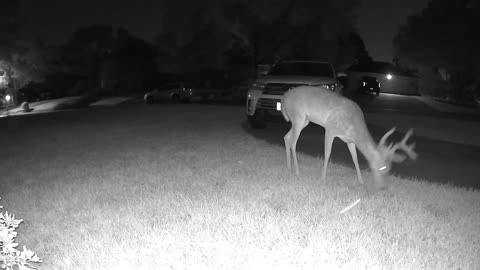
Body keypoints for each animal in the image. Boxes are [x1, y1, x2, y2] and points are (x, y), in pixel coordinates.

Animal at [282, 85, 416, 187]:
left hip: (304, 121)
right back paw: (297, 171)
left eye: (389, 169)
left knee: (286, 137)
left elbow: (355, 158)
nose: (383, 187)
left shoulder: (350, 140)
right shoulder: (330, 128)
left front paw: (361, 181)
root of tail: (284, 98)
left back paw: (288, 167)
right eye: (382, 168)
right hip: (298, 117)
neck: (354, 125)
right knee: (293, 142)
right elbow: (327, 153)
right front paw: (323, 178)